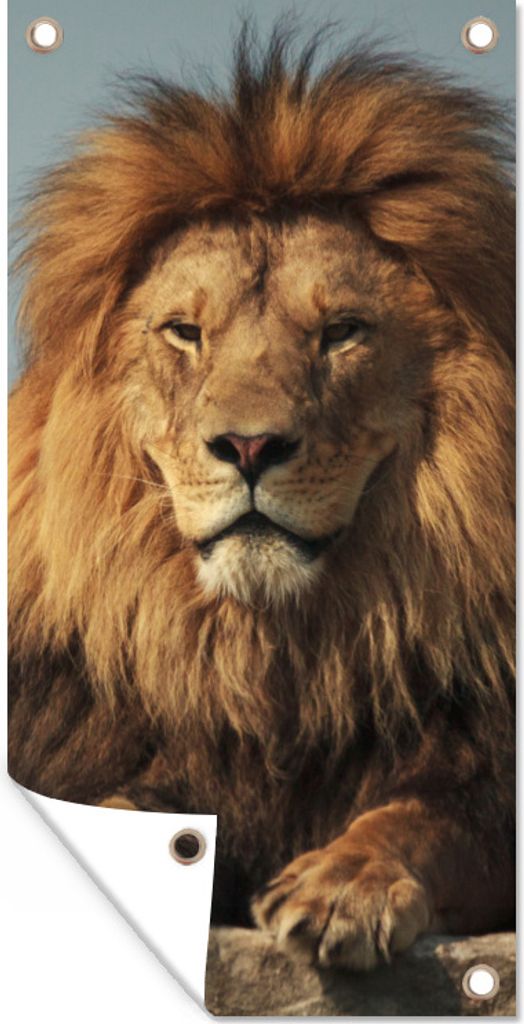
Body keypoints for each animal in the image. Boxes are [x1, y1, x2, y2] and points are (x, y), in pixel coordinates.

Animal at [9, 27, 515, 972]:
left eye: (342, 332)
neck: (272, 657)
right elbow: (111, 812)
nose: (249, 448)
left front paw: (345, 885)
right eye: (184, 332)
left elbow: (424, 816)